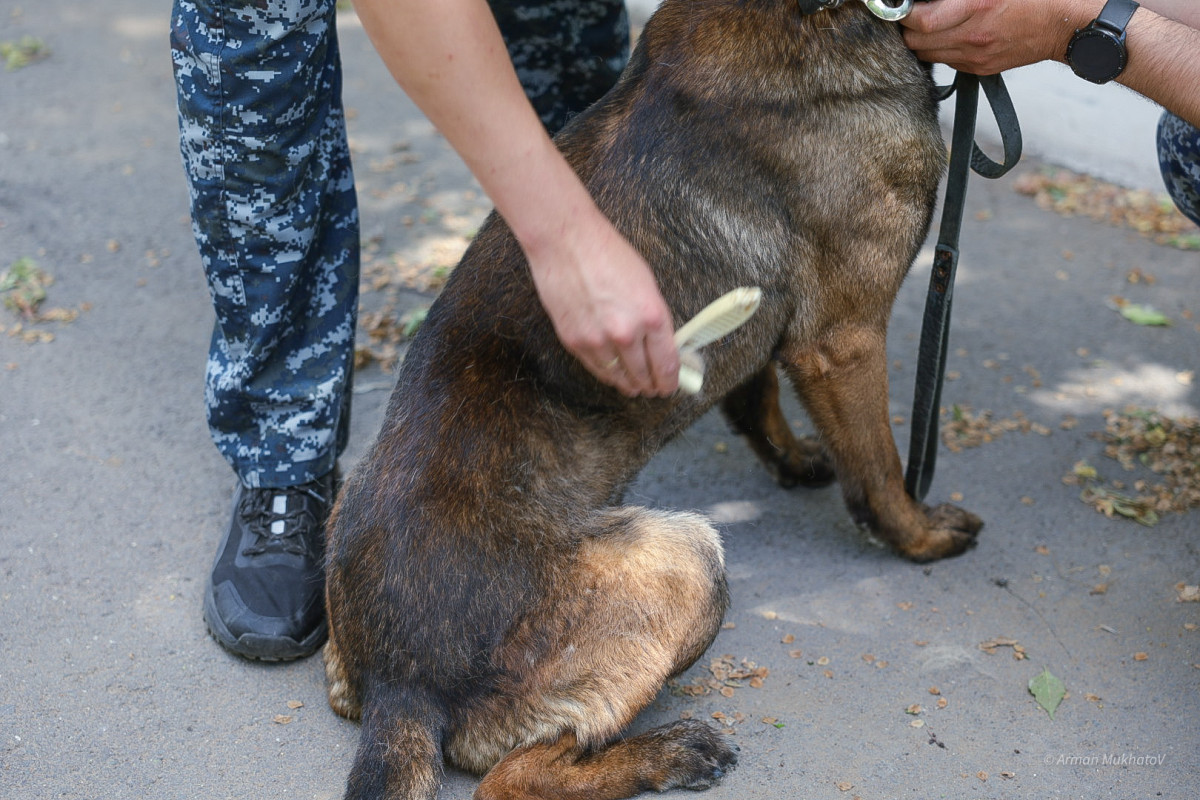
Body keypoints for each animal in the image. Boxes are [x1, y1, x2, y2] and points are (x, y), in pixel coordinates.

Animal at [324, 3, 979, 796]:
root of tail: (399, 685)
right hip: (686, 555)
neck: (807, 13)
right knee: (511, 777)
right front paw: (919, 534)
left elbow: (756, 396)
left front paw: (792, 460)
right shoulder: (843, 340)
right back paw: (667, 753)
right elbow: (881, 472)